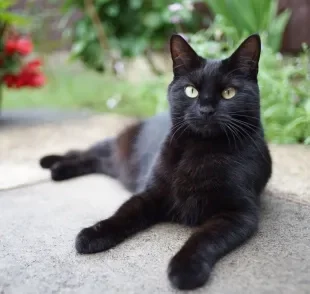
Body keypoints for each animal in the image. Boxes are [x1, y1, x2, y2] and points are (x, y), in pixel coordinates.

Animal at [40, 34, 272, 290]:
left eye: (228, 93)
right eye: (191, 91)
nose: (205, 110)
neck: (199, 149)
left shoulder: (238, 212)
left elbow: (205, 237)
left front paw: (186, 267)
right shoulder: (151, 192)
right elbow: (123, 214)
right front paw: (93, 234)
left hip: (118, 165)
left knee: (95, 160)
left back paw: (57, 168)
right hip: (118, 148)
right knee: (87, 151)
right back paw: (51, 163)